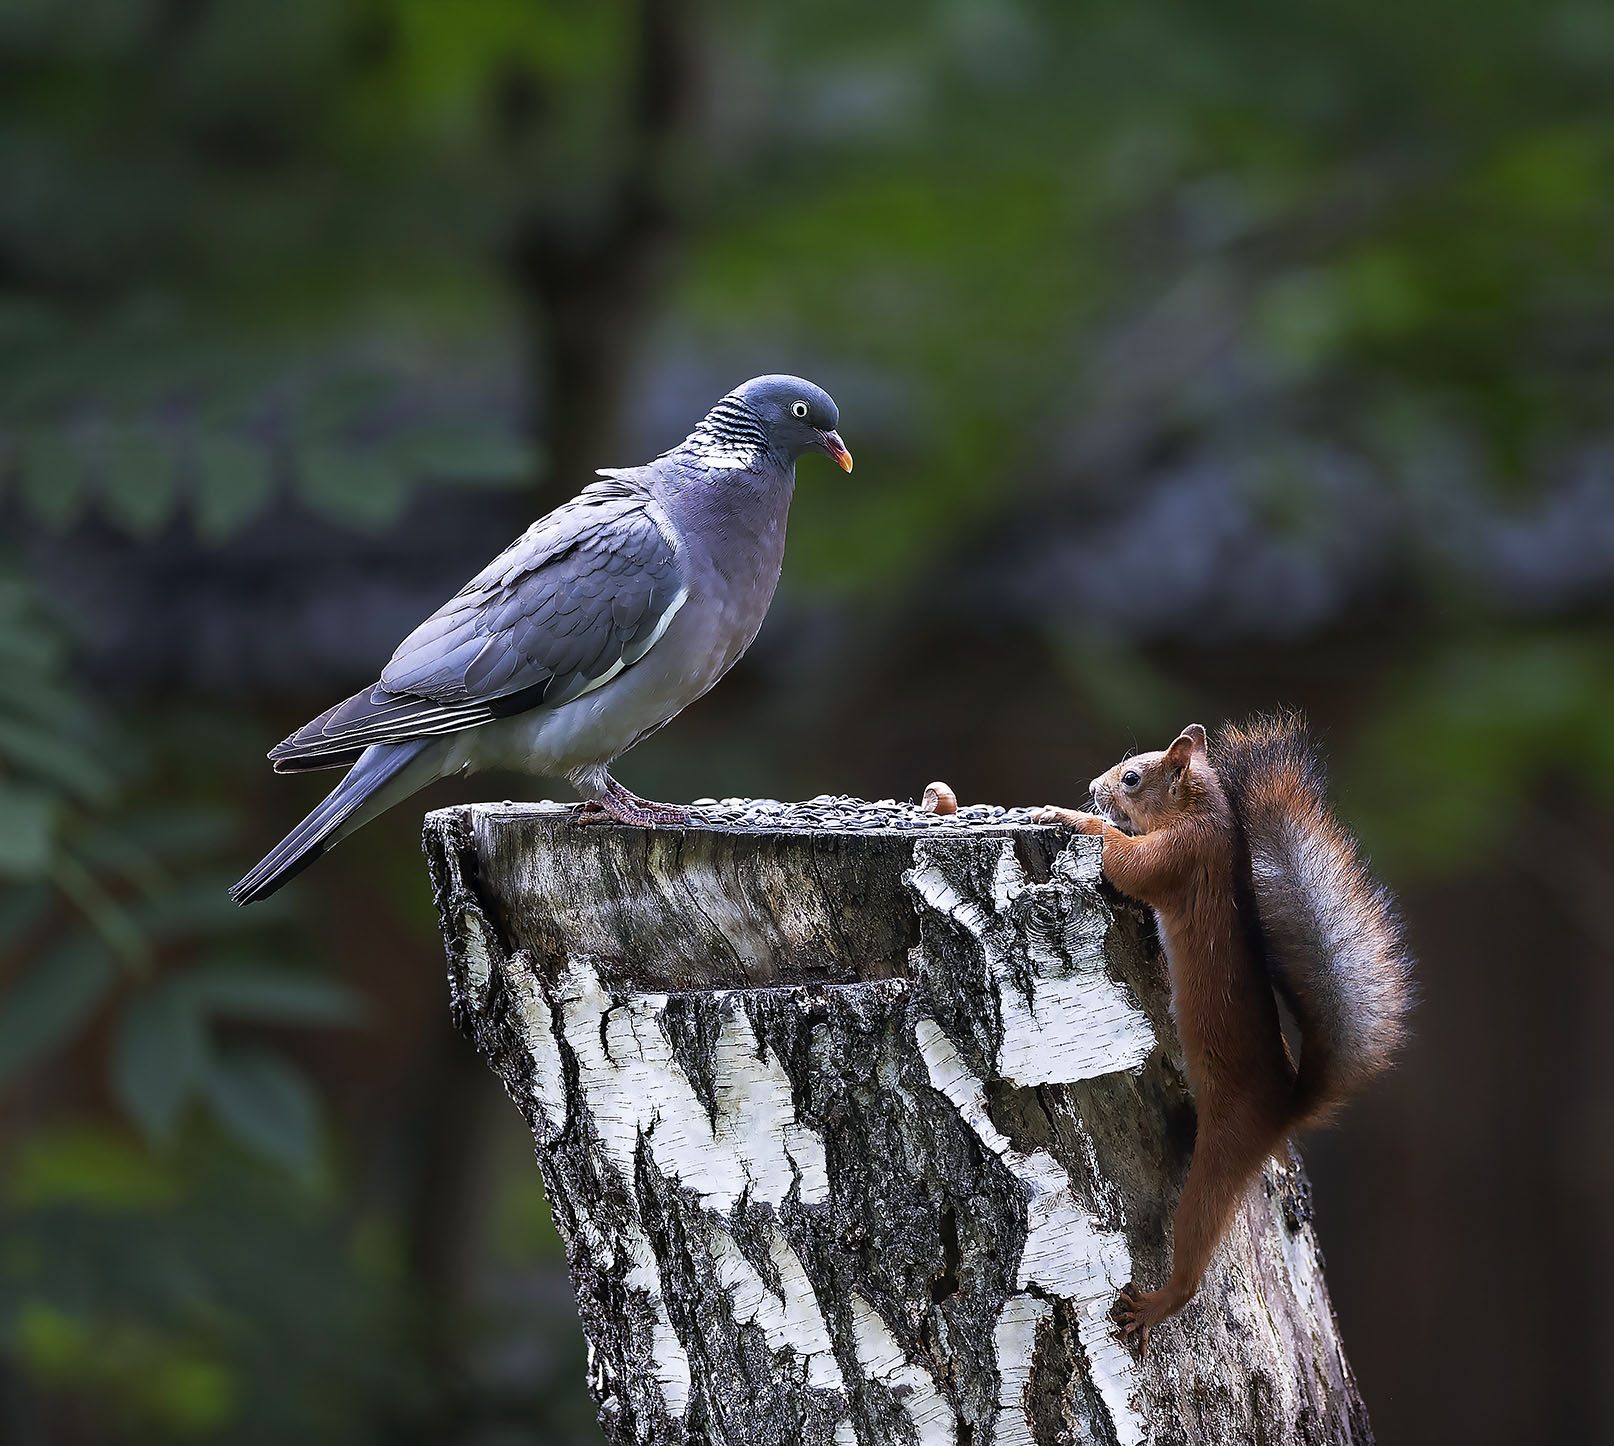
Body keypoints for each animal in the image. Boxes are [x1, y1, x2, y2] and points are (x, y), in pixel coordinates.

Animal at [1033, 712, 1413, 1353]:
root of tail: (1284, 1109)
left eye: (1132, 778)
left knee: (1195, 1244)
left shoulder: (1179, 856)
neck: (1204, 812)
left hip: (1225, 1151)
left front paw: (1073, 818)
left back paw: (1157, 1304)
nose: (1092, 786)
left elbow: (1125, 864)